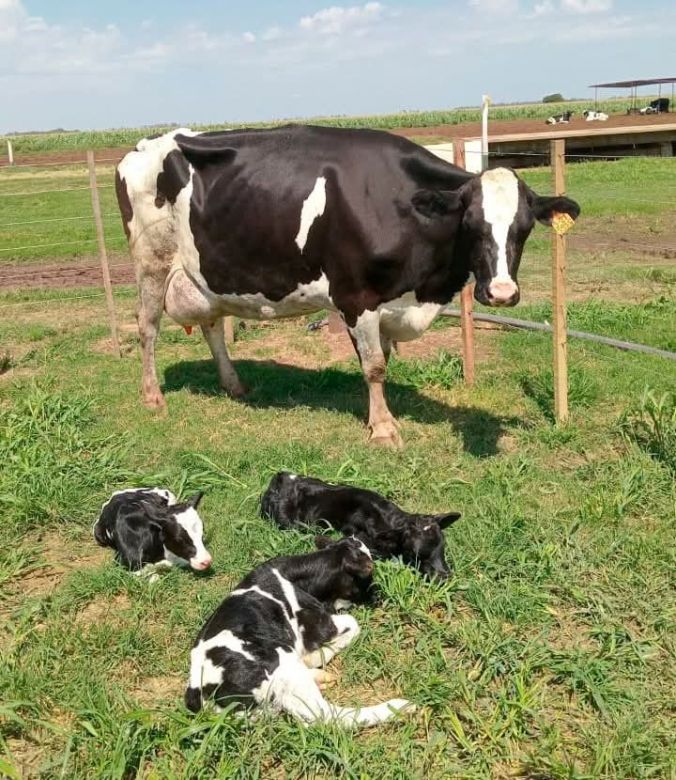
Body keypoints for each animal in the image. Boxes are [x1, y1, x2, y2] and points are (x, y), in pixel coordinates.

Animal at [116, 125, 580, 447]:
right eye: (471, 223)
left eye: (523, 228)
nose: (501, 292)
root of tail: (145, 144)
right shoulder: (356, 296)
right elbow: (373, 365)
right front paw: (384, 428)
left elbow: (383, 361)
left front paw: (383, 413)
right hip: (151, 261)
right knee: (148, 327)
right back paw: (153, 396)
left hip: (204, 274)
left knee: (211, 326)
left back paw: (234, 385)